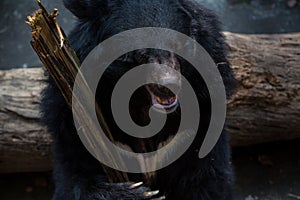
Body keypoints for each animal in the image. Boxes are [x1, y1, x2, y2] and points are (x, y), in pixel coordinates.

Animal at [41, 0, 236, 199]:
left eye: (178, 43)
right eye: (141, 54)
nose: (169, 84)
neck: (143, 108)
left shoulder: (198, 124)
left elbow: (207, 181)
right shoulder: (74, 127)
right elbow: (74, 179)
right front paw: (138, 192)